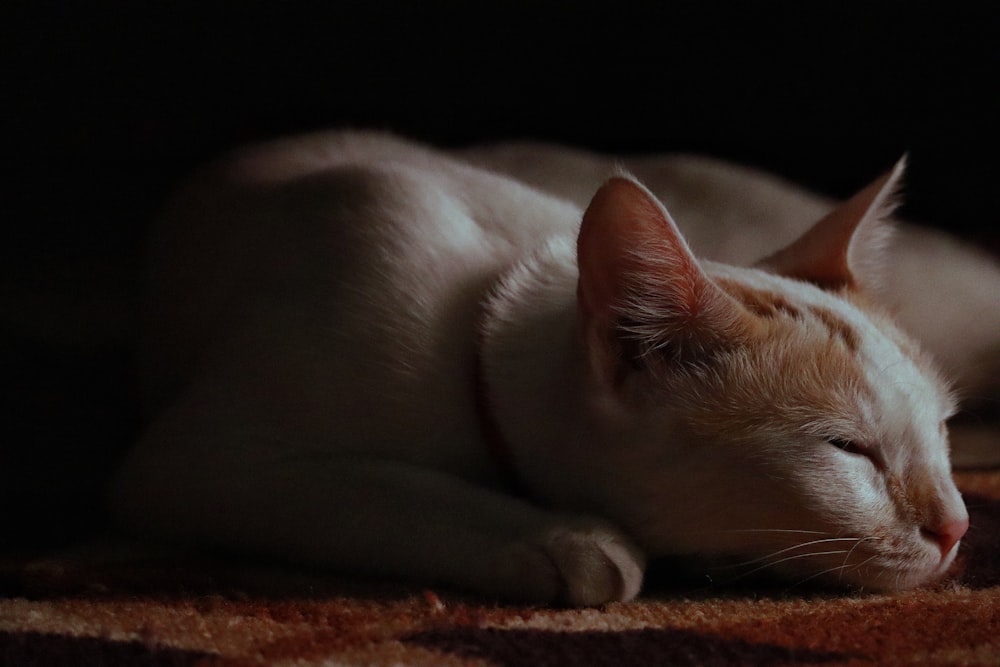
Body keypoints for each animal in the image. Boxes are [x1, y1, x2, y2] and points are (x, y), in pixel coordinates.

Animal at [107, 130, 984, 604]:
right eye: (848, 450)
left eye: (942, 433)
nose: (958, 527)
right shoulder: (194, 460)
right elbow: (381, 487)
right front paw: (565, 539)